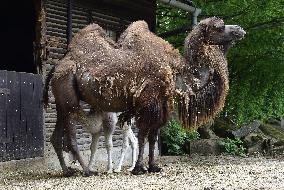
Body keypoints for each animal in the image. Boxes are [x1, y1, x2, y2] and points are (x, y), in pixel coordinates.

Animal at [43, 17, 245, 176]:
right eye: (219, 27)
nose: (240, 29)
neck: (175, 69)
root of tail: (57, 66)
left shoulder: (160, 105)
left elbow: (153, 137)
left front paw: (153, 166)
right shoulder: (148, 103)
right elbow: (143, 136)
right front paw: (139, 168)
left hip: (61, 103)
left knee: (55, 136)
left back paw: (68, 171)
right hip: (68, 96)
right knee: (71, 137)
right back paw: (87, 170)